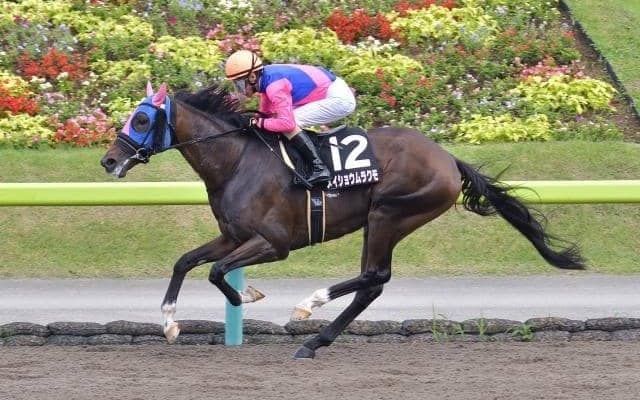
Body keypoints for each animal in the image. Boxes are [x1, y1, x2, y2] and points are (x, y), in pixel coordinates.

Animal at [100, 82, 585, 359]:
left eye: (141, 119)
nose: (108, 160)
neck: (237, 161)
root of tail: (448, 158)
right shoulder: (233, 235)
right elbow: (186, 261)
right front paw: (170, 323)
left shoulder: (273, 243)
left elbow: (218, 271)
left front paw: (246, 297)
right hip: (380, 220)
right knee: (372, 283)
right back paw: (315, 341)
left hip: (390, 212)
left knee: (374, 275)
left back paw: (309, 307)